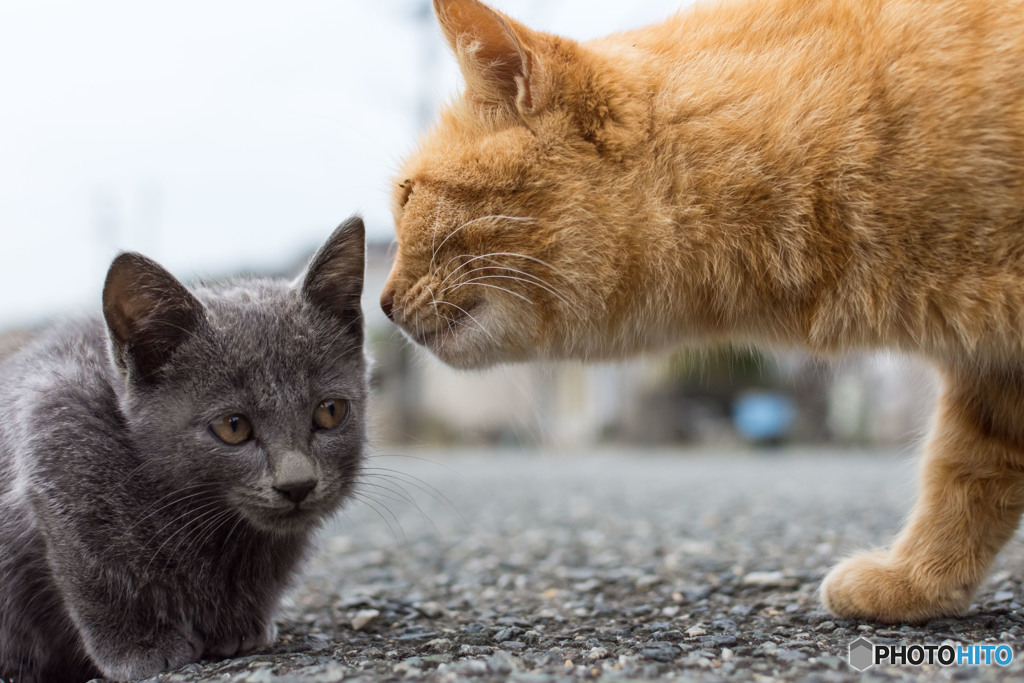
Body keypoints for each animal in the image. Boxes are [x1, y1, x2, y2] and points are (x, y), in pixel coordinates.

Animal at [0, 218, 368, 679]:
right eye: (233, 427)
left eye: (330, 411)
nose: (298, 484)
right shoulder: (55, 426)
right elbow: (95, 569)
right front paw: (139, 647)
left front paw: (236, 627)